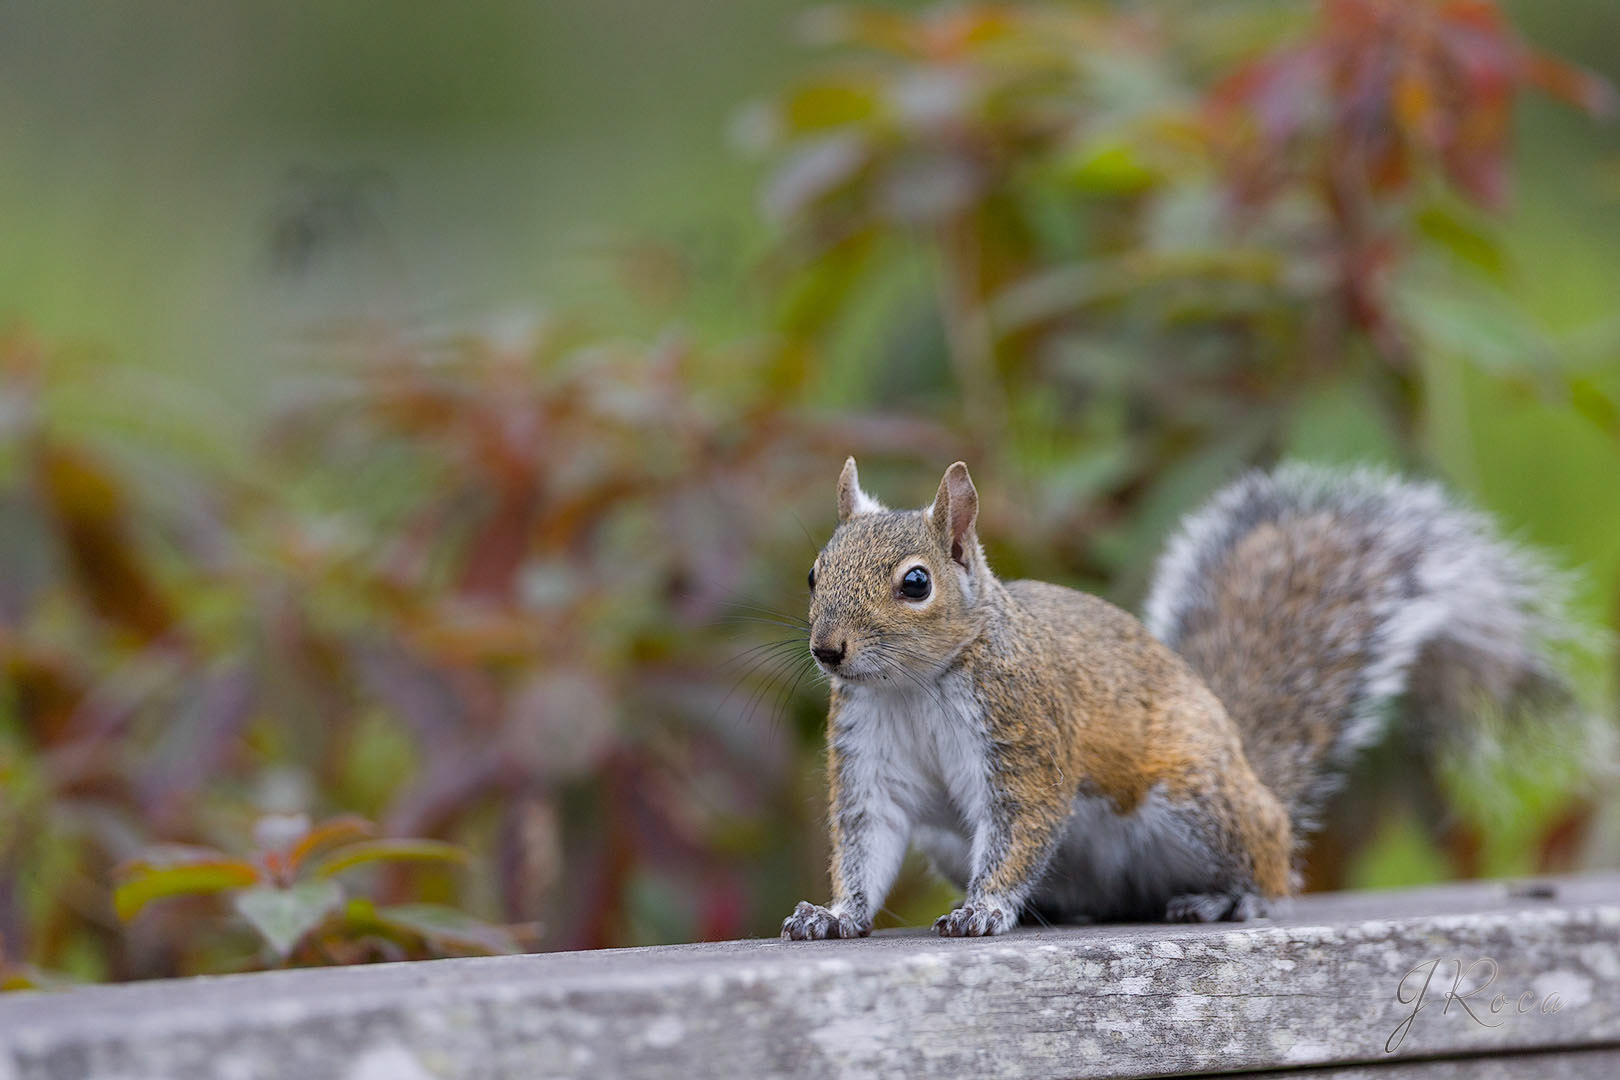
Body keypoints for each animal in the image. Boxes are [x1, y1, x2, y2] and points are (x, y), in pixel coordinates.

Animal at [781, 458, 1575, 939]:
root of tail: (1245, 761)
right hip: (954, 844)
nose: (828, 650)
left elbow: (1021, 827)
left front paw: (985, 908)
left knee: (1271, 856)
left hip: (1195, 799)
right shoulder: (867, 757)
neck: (912, 687)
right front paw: (835, 914)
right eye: (814, 573)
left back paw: (1236, 896)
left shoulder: (1025, 734)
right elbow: (867, 841)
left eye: (916, 583)